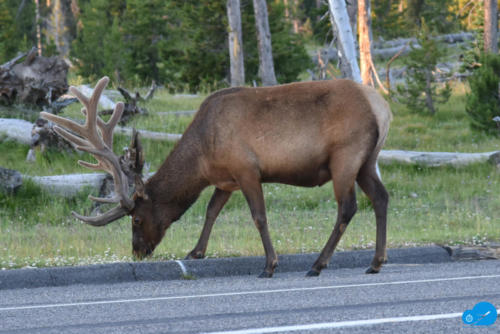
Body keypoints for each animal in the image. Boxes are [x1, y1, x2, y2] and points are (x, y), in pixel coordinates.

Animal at [42, 77, 390, 278]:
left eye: (137, 219)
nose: (137, 252)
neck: (203, 157)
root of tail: (383, 108)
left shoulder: (247, 169)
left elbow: (259, 216)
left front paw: (269, 265)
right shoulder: (226, 179)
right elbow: (211, 210)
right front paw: (196, 252)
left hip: (345, 157)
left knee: (347, 208)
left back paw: (318, 264)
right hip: (367, 161)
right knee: (381, 198)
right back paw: (375, 261)